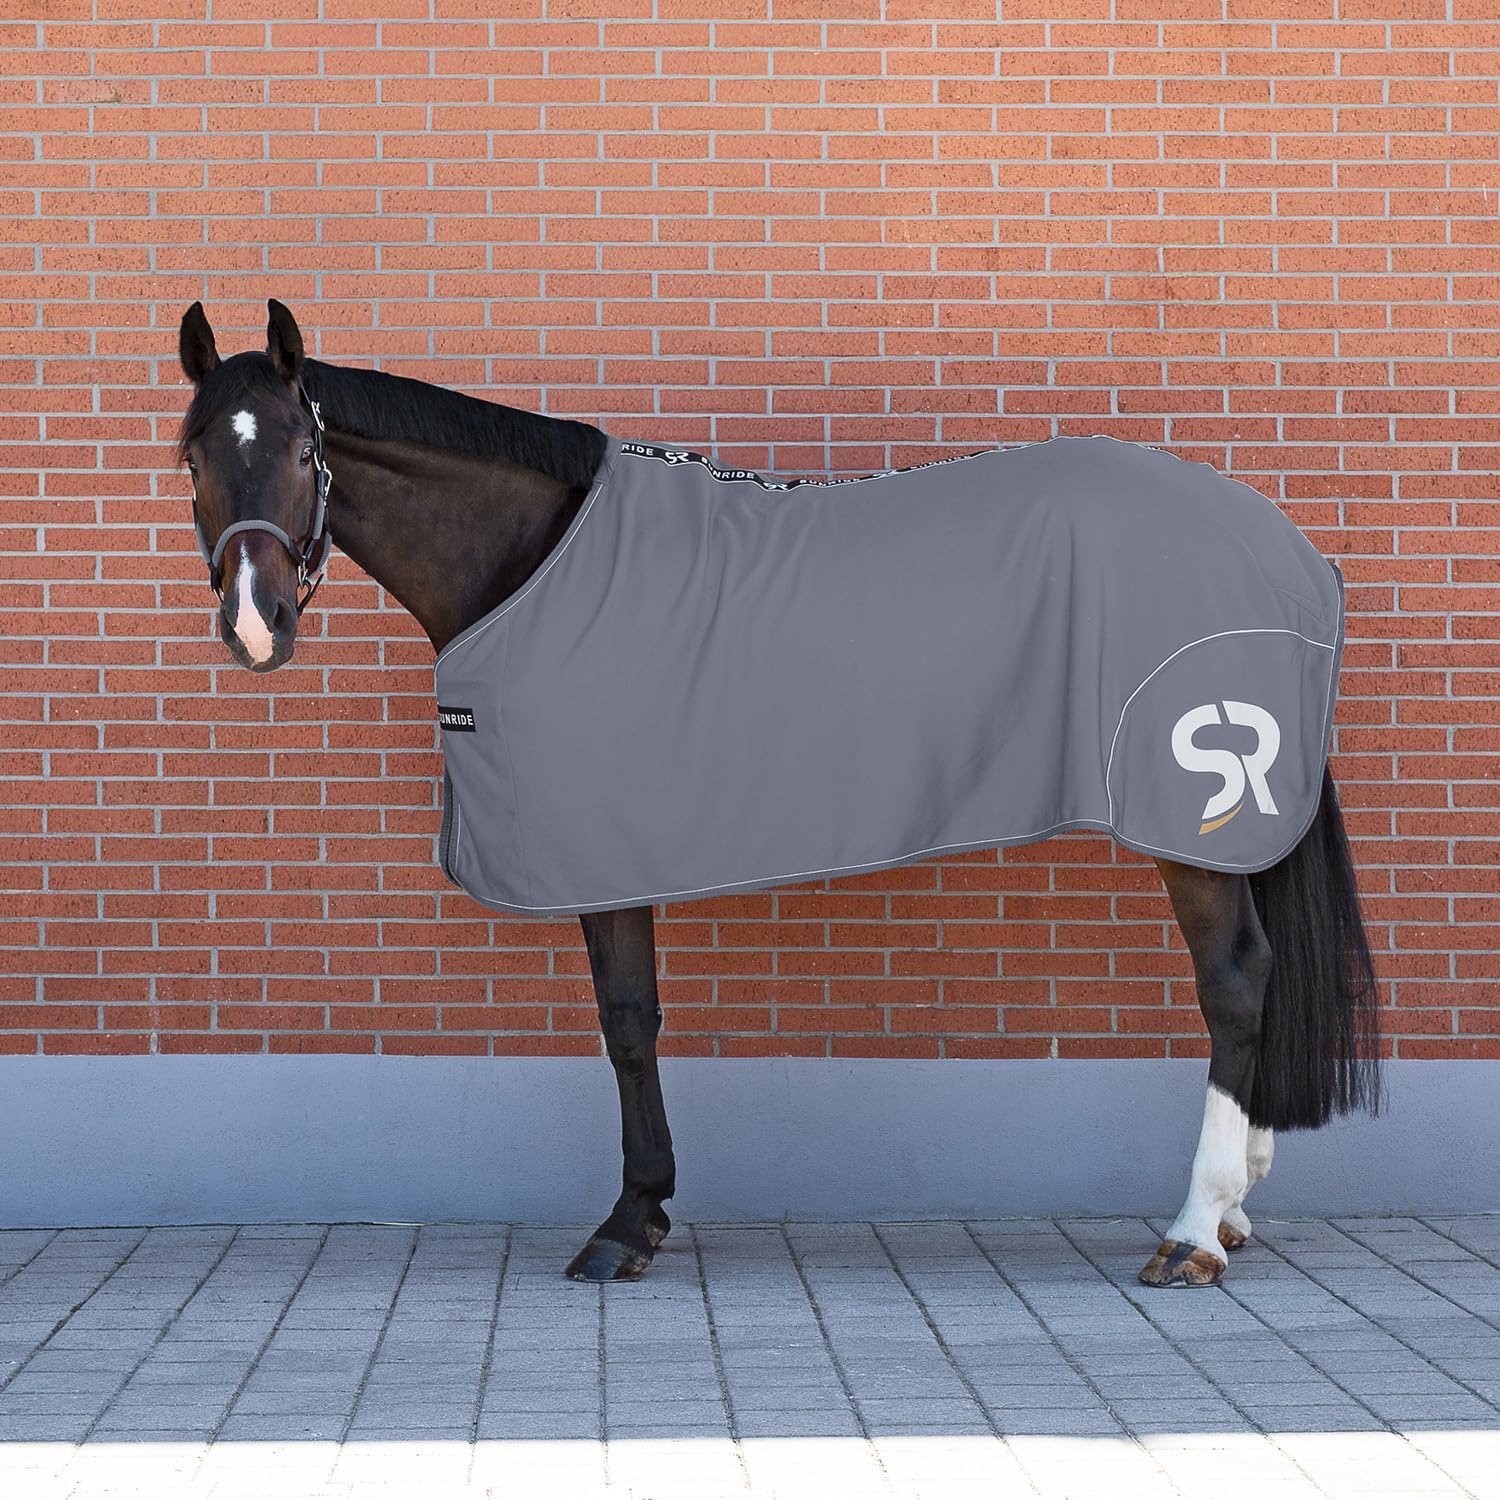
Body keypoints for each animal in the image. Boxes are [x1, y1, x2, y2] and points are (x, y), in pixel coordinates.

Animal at [172, 298, 1379, 1288]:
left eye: (300, 446)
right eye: (192, 454)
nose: (254, 624)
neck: (534, 560)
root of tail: (1288, 553)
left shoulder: (604, 847)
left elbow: (628, 1023)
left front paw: (630, 1222)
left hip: (1189, 811)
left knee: (1236, 981)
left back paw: (1191, 1232)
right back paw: (1233, 1214)